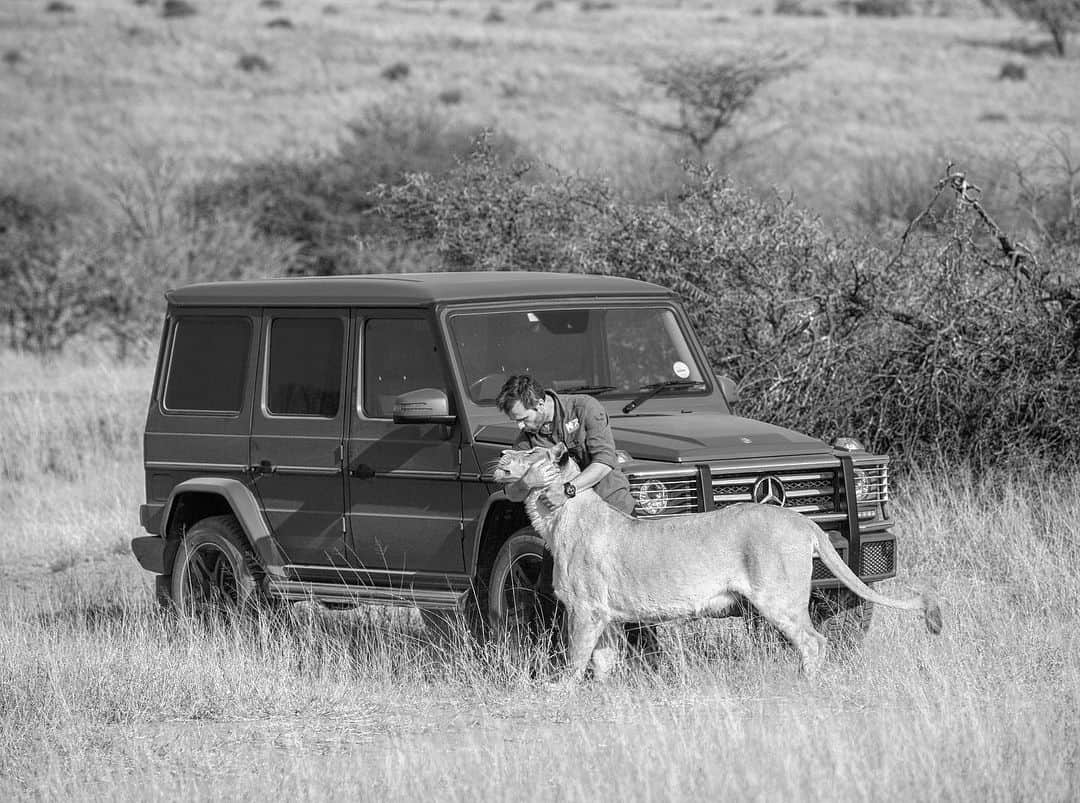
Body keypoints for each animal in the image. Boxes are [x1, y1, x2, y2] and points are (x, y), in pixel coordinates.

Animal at [494, 442, 941, 682]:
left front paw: (559, 693)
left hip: (778, 599)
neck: (557, 515)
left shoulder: (585, 611)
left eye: (528, 450)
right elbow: (602, 661)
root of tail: (803, 521)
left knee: (815, 641)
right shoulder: (606, 614)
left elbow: (574, 659)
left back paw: (804, 684)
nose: (499, 454)